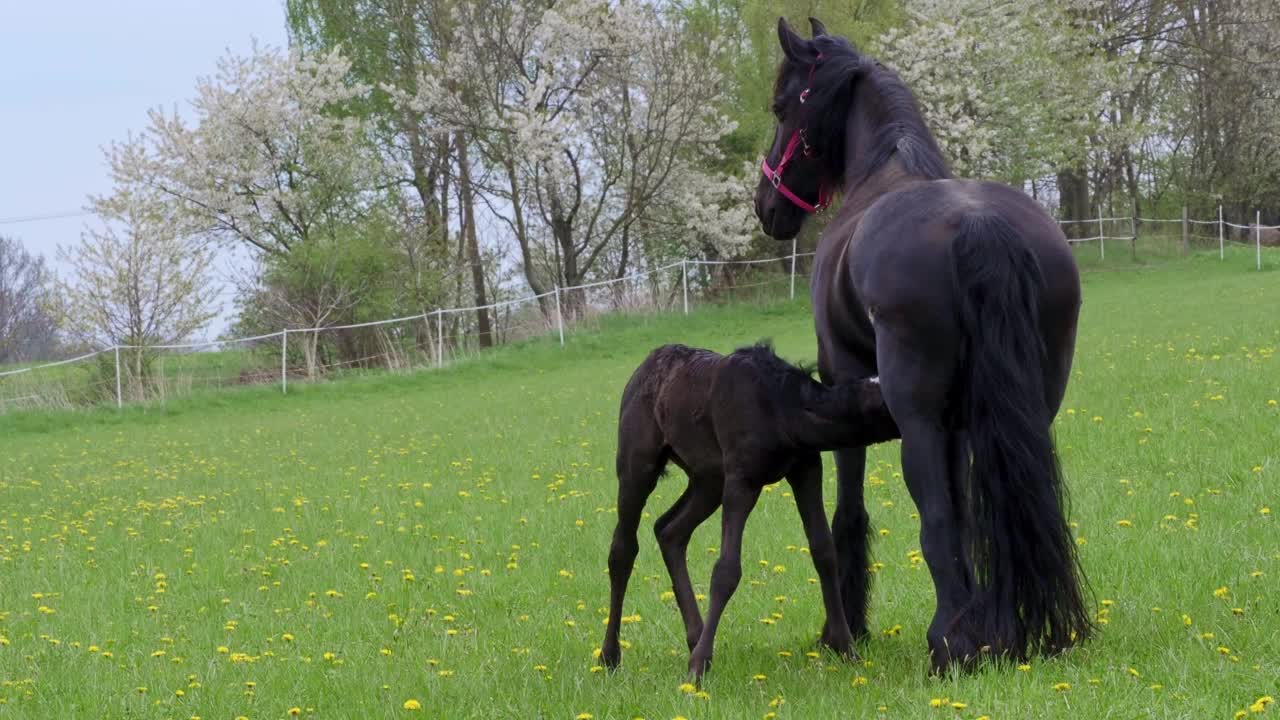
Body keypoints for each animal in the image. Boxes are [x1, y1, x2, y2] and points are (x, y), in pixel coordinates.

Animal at [601, 340, 896, 671]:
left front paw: (847, 650)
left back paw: (696, 636)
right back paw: (610, 655)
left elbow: (824, 552)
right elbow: (726, 569)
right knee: (623, 549)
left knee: (670, 530)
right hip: (639, 464)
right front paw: (698, 667)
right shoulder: (742, 478)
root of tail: (646, 365)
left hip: (708, 480)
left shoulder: (806, 467)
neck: (782, 407)